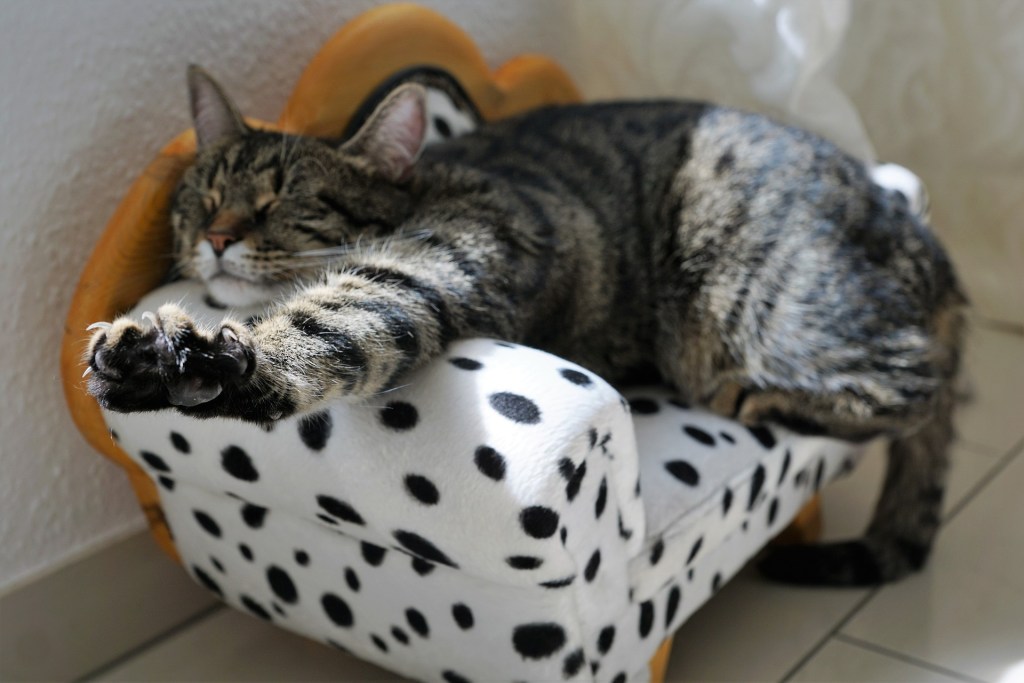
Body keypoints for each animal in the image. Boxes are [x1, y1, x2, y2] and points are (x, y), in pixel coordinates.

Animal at [83, 65, 962, 589]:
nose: (217, 235)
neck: (432, 183)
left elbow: (329, 322)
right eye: (203, 193)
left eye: (281, 202)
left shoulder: (428, 267)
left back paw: (756, 396)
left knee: (917, 383)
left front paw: (187, 356)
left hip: (764, 313)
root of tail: (928, 245)